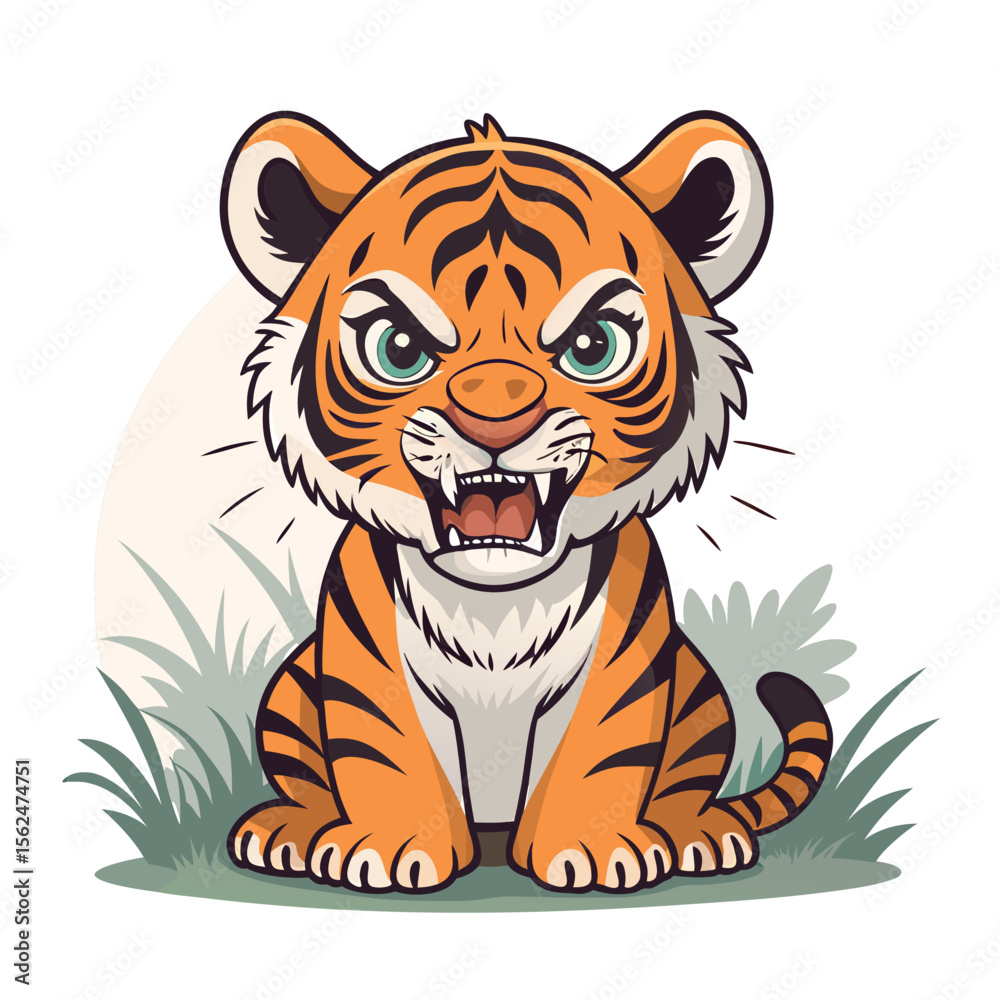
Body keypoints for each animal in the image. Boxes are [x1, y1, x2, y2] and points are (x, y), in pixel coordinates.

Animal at [221, 110, 832, 894]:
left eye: (593, 345)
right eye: (398, 348)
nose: (494, 419)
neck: (494, 601)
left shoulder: (625, 662)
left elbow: (604, 748)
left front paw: (599, 853)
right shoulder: (365, 666)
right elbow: (384, 747)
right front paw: (391, 850)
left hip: (701, 695)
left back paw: (701, 834)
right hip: (290, 693)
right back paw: (288, 834)